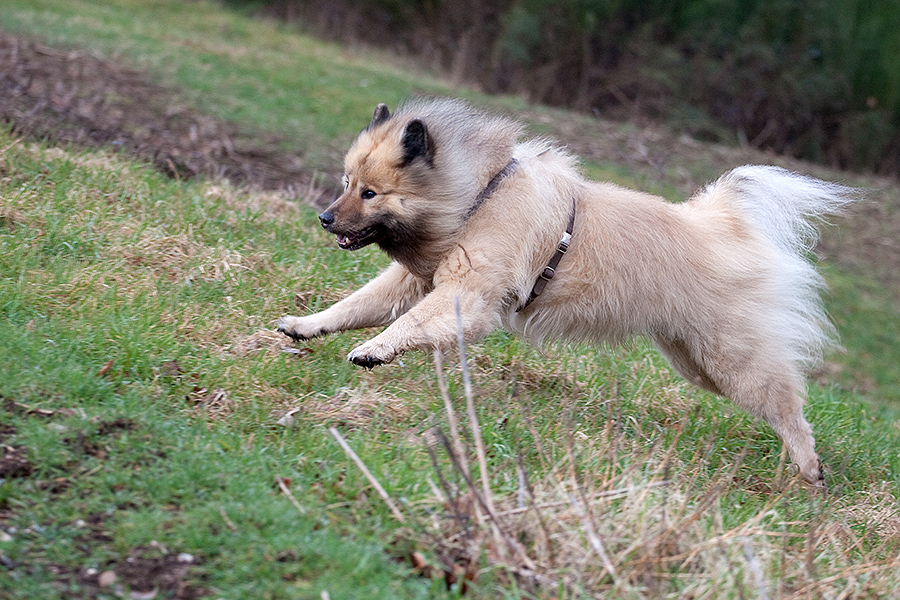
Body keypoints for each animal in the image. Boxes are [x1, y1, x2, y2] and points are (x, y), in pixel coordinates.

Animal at [280, 97, 856, 482]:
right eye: (346, 183)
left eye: (369, 193)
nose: (325, 218)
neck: (478, 198)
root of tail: (722, 226)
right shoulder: (416, 280)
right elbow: (355, 306)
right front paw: (305, 327)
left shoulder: (466, 294)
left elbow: (407, 323)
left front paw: (374, 350)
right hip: (695, 362)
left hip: (731, 361)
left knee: (788, 405)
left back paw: (809, 468)